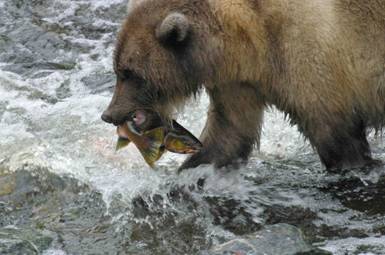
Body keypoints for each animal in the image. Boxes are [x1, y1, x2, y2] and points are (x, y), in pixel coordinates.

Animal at [101, 0, 384, 171]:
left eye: (130, 73)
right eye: (117, 69)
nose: (108, 114)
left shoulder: (309, 54)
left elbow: (336, 135)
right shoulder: (238, 81)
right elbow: (230, 132)